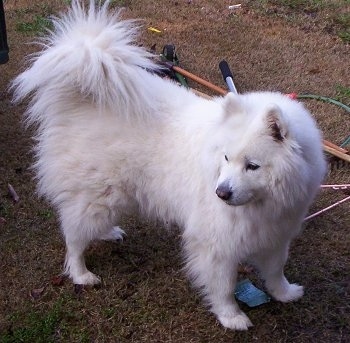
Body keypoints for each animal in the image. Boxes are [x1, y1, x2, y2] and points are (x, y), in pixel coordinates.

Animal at [12, 0, 326, 334]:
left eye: (252, 166)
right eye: (227, 159)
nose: (221, 193)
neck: (263, 202)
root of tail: (84, 99)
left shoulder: (276, 233)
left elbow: (276, 270)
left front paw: (285, 293)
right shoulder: (216, 244)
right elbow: (223, 285)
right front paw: (231, 316)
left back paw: (108, 233)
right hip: (96, 196)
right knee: (73, 238)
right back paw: (81, 273)